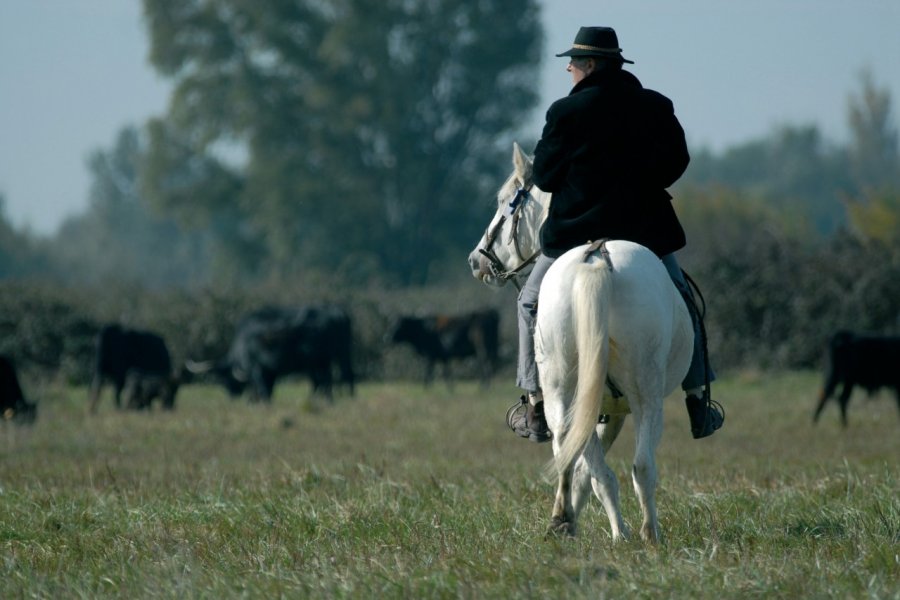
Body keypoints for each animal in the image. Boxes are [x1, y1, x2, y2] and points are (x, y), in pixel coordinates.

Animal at [186, 304, 356, 404]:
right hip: (337, 357)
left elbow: (263, 389)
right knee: (338, 376)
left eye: (224, 380)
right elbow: (269, 389)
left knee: (329, 379)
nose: (233, 397)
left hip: (324, 360)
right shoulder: (270, 372)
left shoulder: (257, 369)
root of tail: (338, 312)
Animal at [468, 143, 692, 540]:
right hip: (640, 397)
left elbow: (584, 468)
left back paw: (592, 526)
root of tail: (597, 257)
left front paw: (573, 517)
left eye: (505, 201)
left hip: (571, 391)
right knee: (637, 467)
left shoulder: (604, 410)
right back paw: (643, 534)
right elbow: (593, 469)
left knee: (585, 458)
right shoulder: (614, 411)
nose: (476, 260)